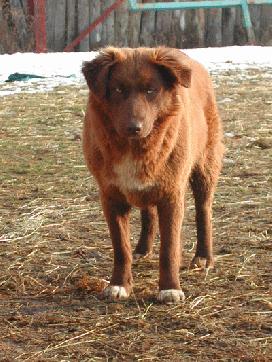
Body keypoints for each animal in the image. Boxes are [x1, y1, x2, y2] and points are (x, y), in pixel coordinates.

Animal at [81, 47, 223, 302]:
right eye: (117, 89)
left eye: (151, 90)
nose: (134, 127)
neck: (135, 147)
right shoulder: (111, 196)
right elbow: (121, 248)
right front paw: (119, 284)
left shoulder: (172, 195)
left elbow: (169, 249)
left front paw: (170, 288)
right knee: (148, 213)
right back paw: (142, 249)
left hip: (205, 166)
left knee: (203, 210)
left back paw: (204, 257)